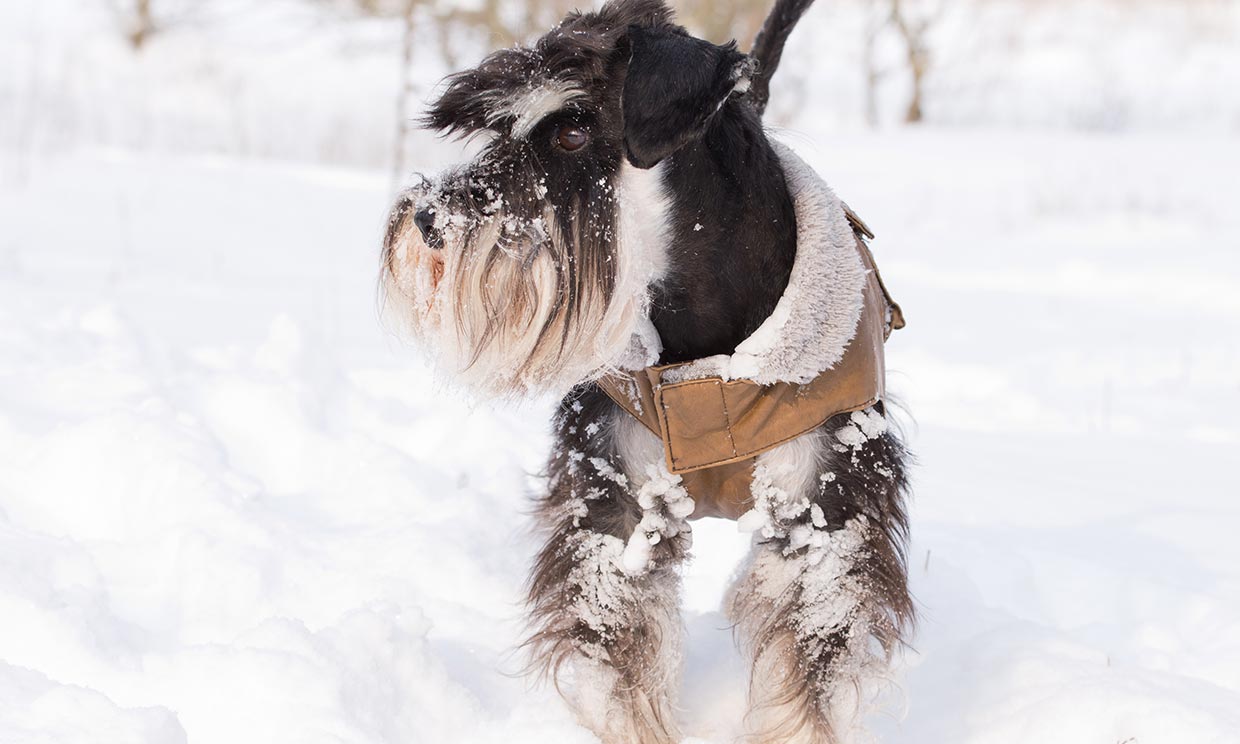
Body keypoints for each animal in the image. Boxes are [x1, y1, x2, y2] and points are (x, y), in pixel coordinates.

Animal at [381, 2, 917, 739]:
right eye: (496, 129)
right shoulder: (618, 506)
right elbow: (621, 663)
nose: (430, 219)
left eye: (573, 132)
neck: (702, 341)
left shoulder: (823, 514)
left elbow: (806, 675)